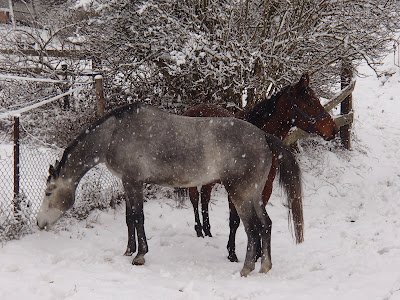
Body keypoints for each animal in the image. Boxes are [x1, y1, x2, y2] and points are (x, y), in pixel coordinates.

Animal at [36, 103, 302, 276]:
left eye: (49, 192)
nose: (39, 223)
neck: (114, 134)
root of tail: (263, 136)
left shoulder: (133, 181)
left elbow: (138, 217)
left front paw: (140, 255)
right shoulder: (127, 182)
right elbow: (129, 217)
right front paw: (128, 250)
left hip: (240, 195)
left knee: (253, 228)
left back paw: (246, 268)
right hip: (255, 195)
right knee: (266, 225)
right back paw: (265, 267)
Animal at [184, 74, 338, 262]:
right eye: (309, 103)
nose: (333, 130)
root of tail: (192, 110)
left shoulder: (265, 189)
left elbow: (259, 221)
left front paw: (257, 253)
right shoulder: (236, 189)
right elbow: (234, 220)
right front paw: (232, 253)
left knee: (205, 197)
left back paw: (208, 231)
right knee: (194, 197)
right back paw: (199, 231)